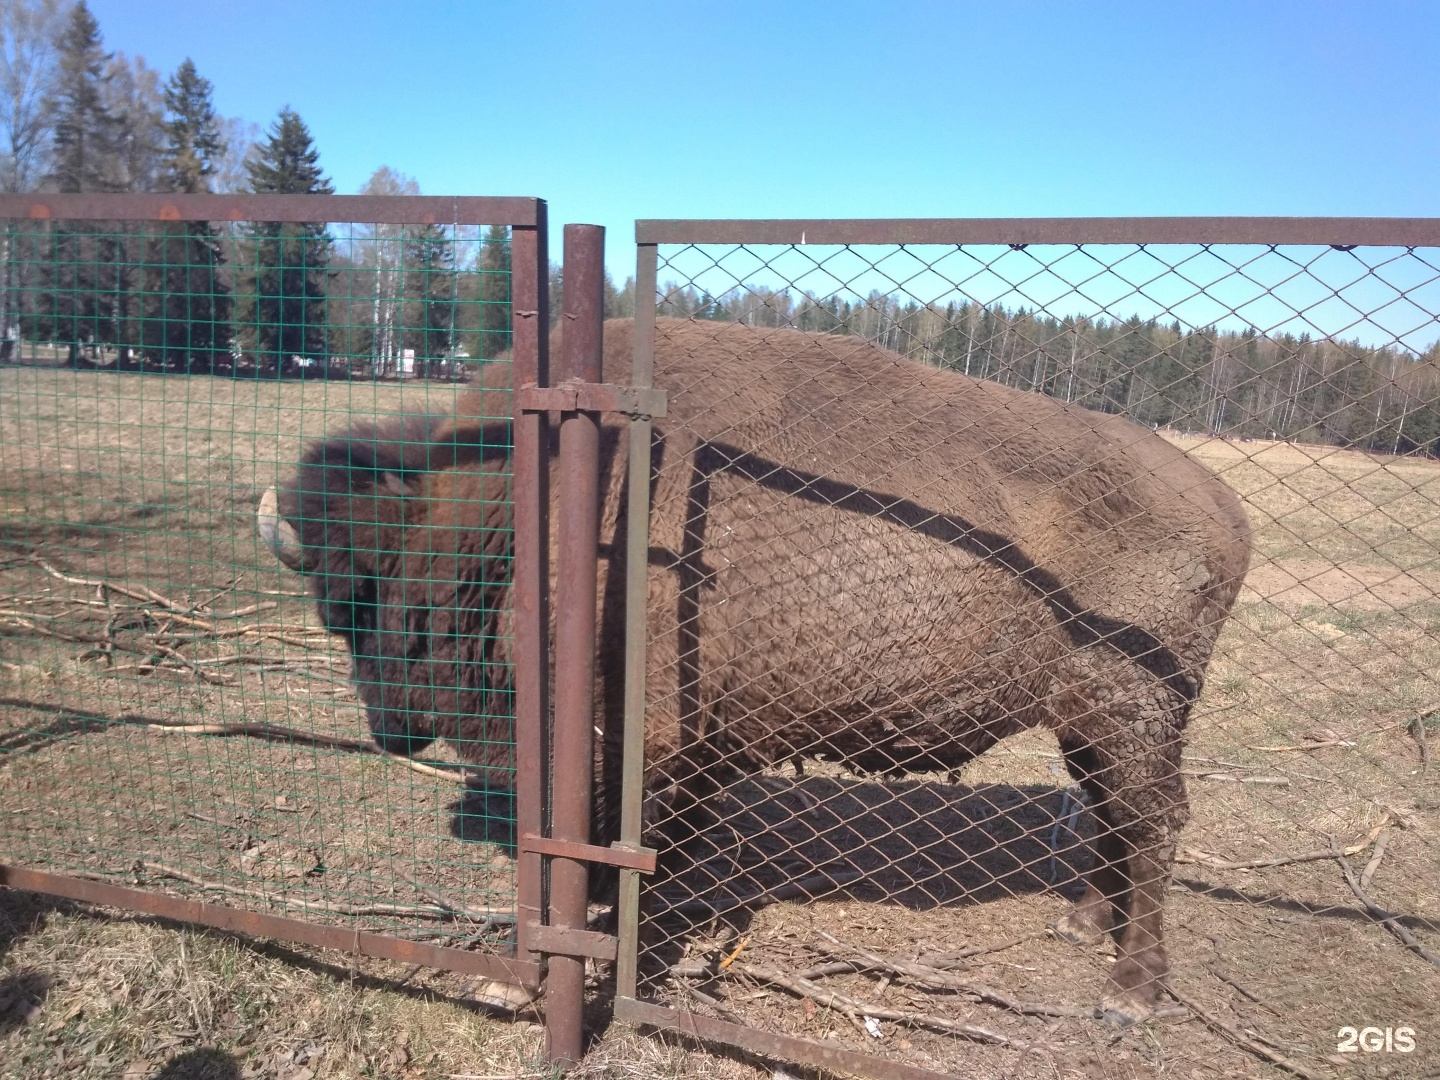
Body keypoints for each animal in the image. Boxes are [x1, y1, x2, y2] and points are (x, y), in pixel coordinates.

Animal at [259, 316, 1249, 1025]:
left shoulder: (611, 745)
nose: (389, 730)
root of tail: (1224, 505)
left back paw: (1130, 989)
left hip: (1132, 708)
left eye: (370, 600)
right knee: (1112, 809)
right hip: (1089, 719)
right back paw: (1083, 921)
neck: (518, 510)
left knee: (1155, 820)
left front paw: (542, 971)